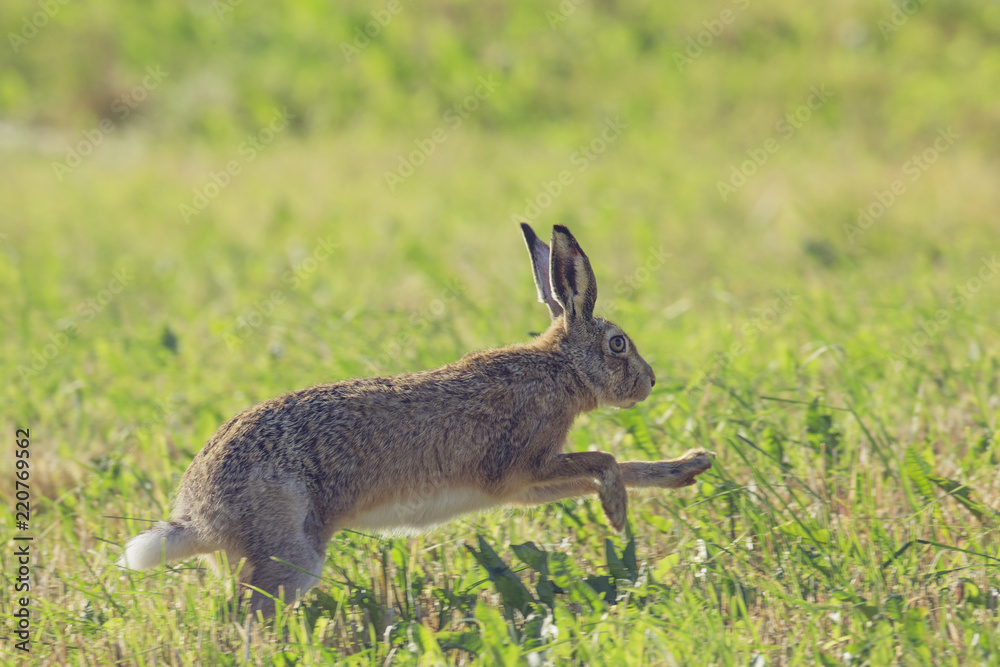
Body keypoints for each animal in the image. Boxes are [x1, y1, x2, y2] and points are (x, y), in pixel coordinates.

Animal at [118, 224, 713, 617]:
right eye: (618, 344)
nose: (650, 381)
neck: (560, 370)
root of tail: (198, 512)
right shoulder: (518, 465)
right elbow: (603, 459)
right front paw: (617, 512)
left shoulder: (521, 487)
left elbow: (611, 466)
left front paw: (689, 467)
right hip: (291, 548)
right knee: (248, 613)